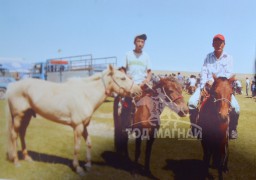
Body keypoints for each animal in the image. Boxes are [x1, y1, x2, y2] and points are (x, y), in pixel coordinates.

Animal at [6, 65, 141, 176]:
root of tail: (12, 86)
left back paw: (27, 158)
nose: (139, 91)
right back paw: (16, 162)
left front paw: (88, 165)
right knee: (13, 135)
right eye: (122, 78)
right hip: (18, 116)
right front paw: (78, 168)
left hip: (27, 115)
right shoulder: (78, 126)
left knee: (22, 133)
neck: (86, 95)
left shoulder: (84, 125)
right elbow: (77, 147)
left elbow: (89, 143)